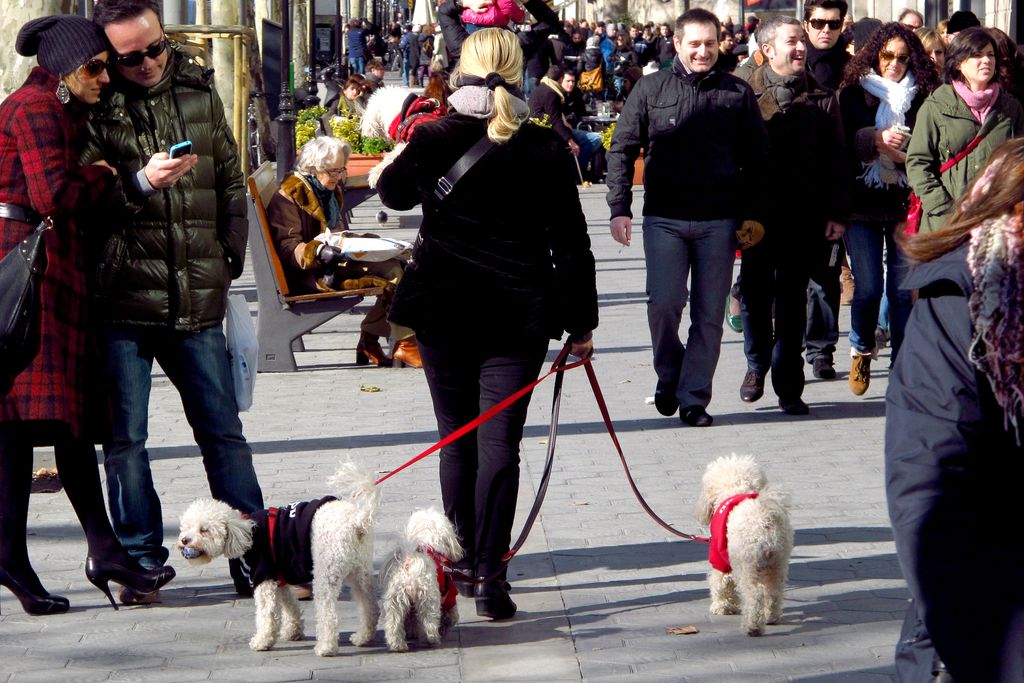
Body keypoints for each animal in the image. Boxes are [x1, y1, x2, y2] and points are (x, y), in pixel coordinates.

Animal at [178, 464, 382, 655]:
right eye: (186, 527)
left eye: (204, 530)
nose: (184, 540)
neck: (246, 533)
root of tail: (356, 522)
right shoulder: (280, 578)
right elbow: (290, 606)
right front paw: (293, 632)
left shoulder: (263, 578)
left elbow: (266, 615)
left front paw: (262, 641)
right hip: (360, 570)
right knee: (370, 606)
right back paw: (363, 637)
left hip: (327, 571)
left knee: (328, 615)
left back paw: (326, 648)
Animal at [380, 507, 464, 651]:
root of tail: (408, 564)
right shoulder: (449, 595)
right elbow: (452, 615)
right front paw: (445, 626)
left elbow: (411, 620)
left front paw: (411, 633)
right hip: (428, 597)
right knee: (429, 620)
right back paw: (433, 639)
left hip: (395, 599)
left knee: (393, 622)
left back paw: (397, 644)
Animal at [696, 454, 790, 634]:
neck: (736, 488)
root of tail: (764, 521)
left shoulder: (720, 559)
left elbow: (721, 583)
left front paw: (722, 606)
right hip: (778, 564)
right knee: (774, 592)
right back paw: (771, 617)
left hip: (748, 566)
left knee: (755, 595)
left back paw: (752, 627)